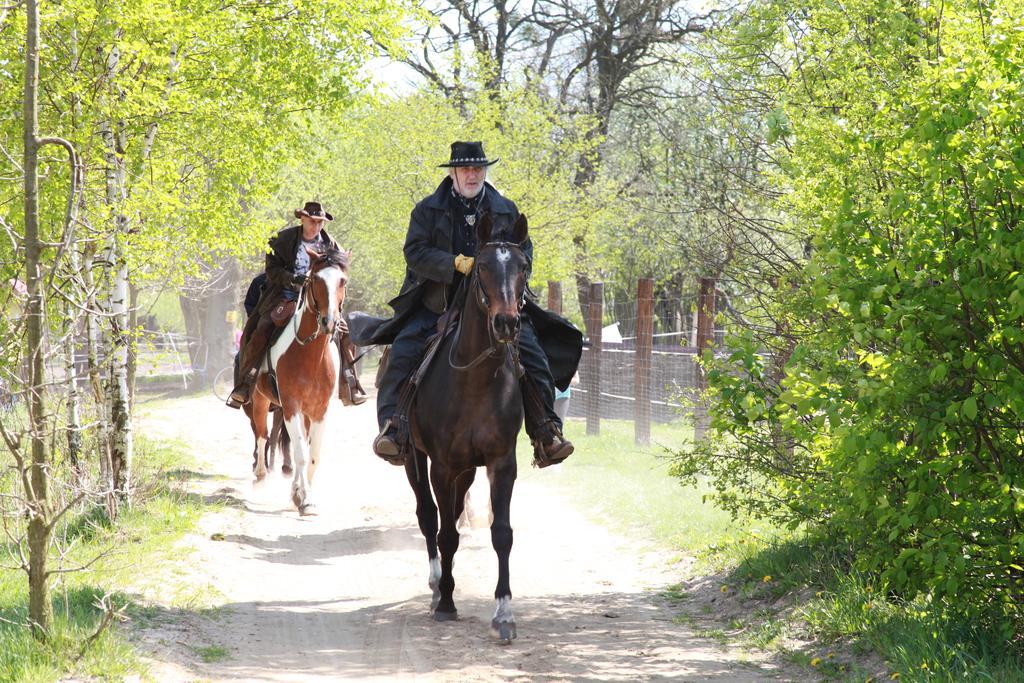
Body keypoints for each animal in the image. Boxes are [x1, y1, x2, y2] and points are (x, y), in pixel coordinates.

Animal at [245, 248, 350, 516]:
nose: (329, 322)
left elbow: (312, 454)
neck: (309, 356)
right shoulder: (291, 406)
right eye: (316, 280)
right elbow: (300, 453)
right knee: (262, 435)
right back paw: (260, 476)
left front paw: (299, 495)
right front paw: (307, 500)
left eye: (342, 281)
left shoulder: (320, 410)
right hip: (260, 401)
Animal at [403, 210, 528, 643]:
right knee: (429, 517)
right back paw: (436, 583)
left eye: (523, 267)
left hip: (468, 470)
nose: (506, 323)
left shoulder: (501, 464)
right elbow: (444, 532)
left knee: (453, 513)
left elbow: (502, 532)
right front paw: (446, 603)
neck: (475, 381)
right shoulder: (441, 466)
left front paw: (504, 613)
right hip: (415, 461)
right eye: (483, 267)